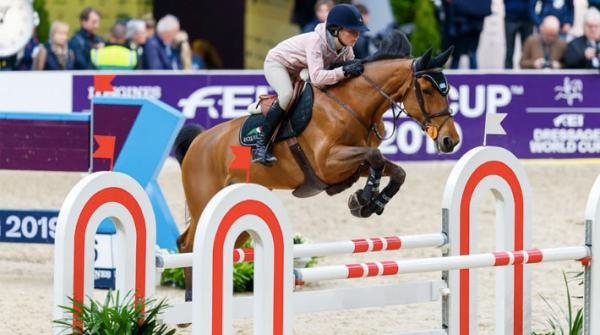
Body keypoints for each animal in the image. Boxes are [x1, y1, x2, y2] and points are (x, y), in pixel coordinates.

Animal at [173, 44, 460, 300]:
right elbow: (376, 157)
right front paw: (364, 199)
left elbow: (395, 170)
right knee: (187, 244)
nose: (451, 141)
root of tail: (199, 141)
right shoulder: (327, 162)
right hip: (205, 201)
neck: (352, 104)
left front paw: (368, 202)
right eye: (426, 90)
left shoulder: (352, 164)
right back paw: (190, 299)